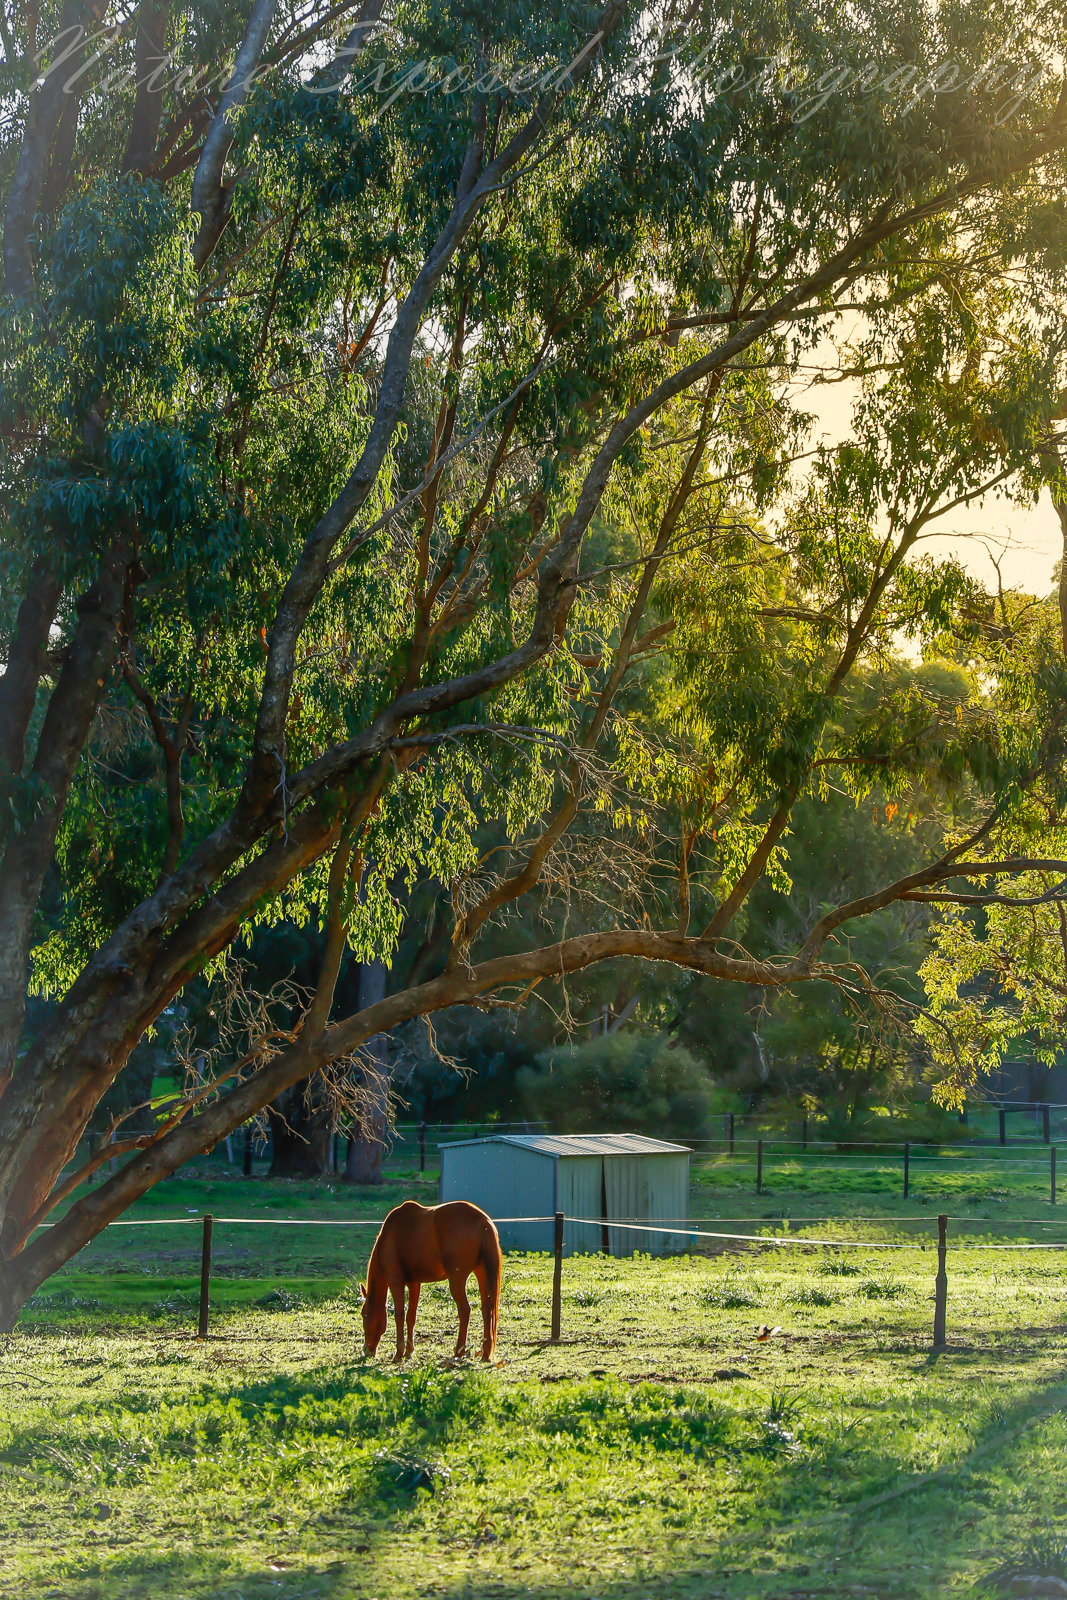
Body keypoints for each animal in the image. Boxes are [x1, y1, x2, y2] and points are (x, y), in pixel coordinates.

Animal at [359, 1200, 501, 1363]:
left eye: (364, 1314)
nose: (367, 1350)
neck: (389, 1236)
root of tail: (483, 1221)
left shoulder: (395, 1281)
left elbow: (399, 1315)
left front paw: (399, 1353)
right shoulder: (414, 1283)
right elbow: (411, 1316)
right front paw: (409, 1351)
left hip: (457, 1280)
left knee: (465, 1310)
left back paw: (459, 1351)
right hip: (482, 1273)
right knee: (487, 1310)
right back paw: (485, 1353)